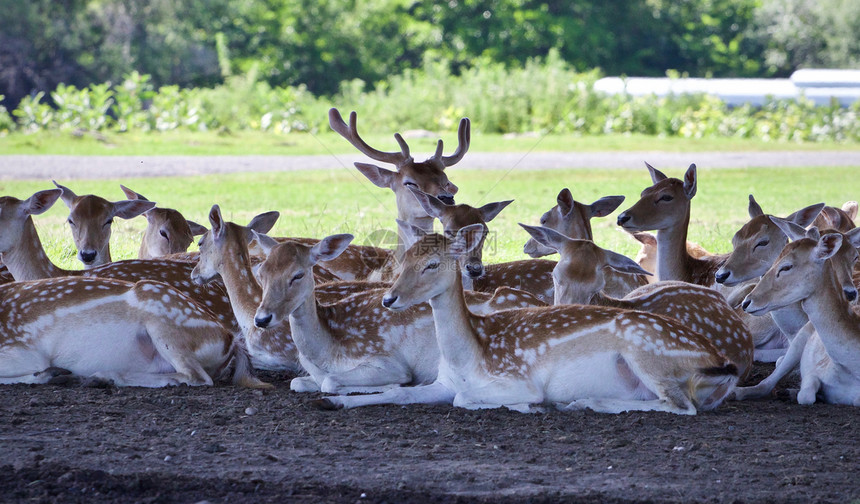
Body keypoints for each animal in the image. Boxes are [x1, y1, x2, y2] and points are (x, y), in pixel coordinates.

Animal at [0, 274, 268, 388]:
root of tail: (230, 341)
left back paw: (104, 376)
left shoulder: (22, 349)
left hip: (164, 322)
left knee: (198, 377)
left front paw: (51, 373)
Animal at [316, 224, 740, 414]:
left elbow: (465, 399)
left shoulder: (516, 379)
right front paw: (333, 401)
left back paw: (586, 402)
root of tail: (722, 364)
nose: (389, 298)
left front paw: (527, 407)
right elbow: (399, 392)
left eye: (432, 264)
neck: (471, 355)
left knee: (681, 405)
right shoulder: (441, 382)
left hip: (647, 353)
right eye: (402, 259)